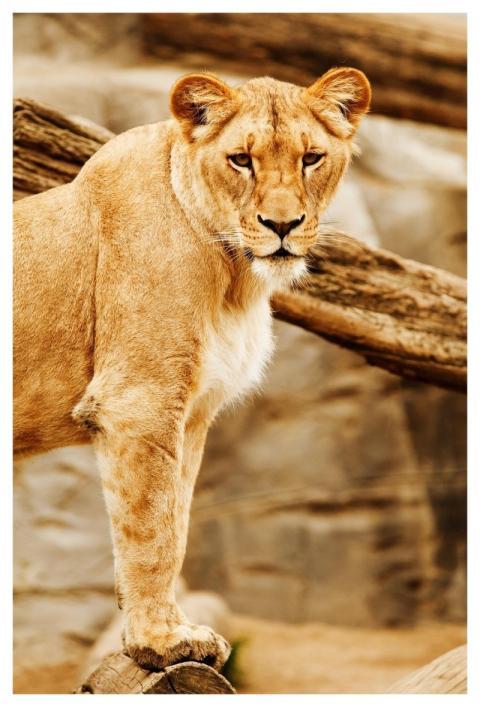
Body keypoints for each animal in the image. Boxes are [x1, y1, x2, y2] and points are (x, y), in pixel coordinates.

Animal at [13, 67, 371, 671]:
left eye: (311, 158)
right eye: (241, 160)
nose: (282, 225)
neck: (234, 277)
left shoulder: (193, 413)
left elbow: (176, 522)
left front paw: (162, 629)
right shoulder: (140, 401)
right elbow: (151, 529)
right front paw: (161, 641)